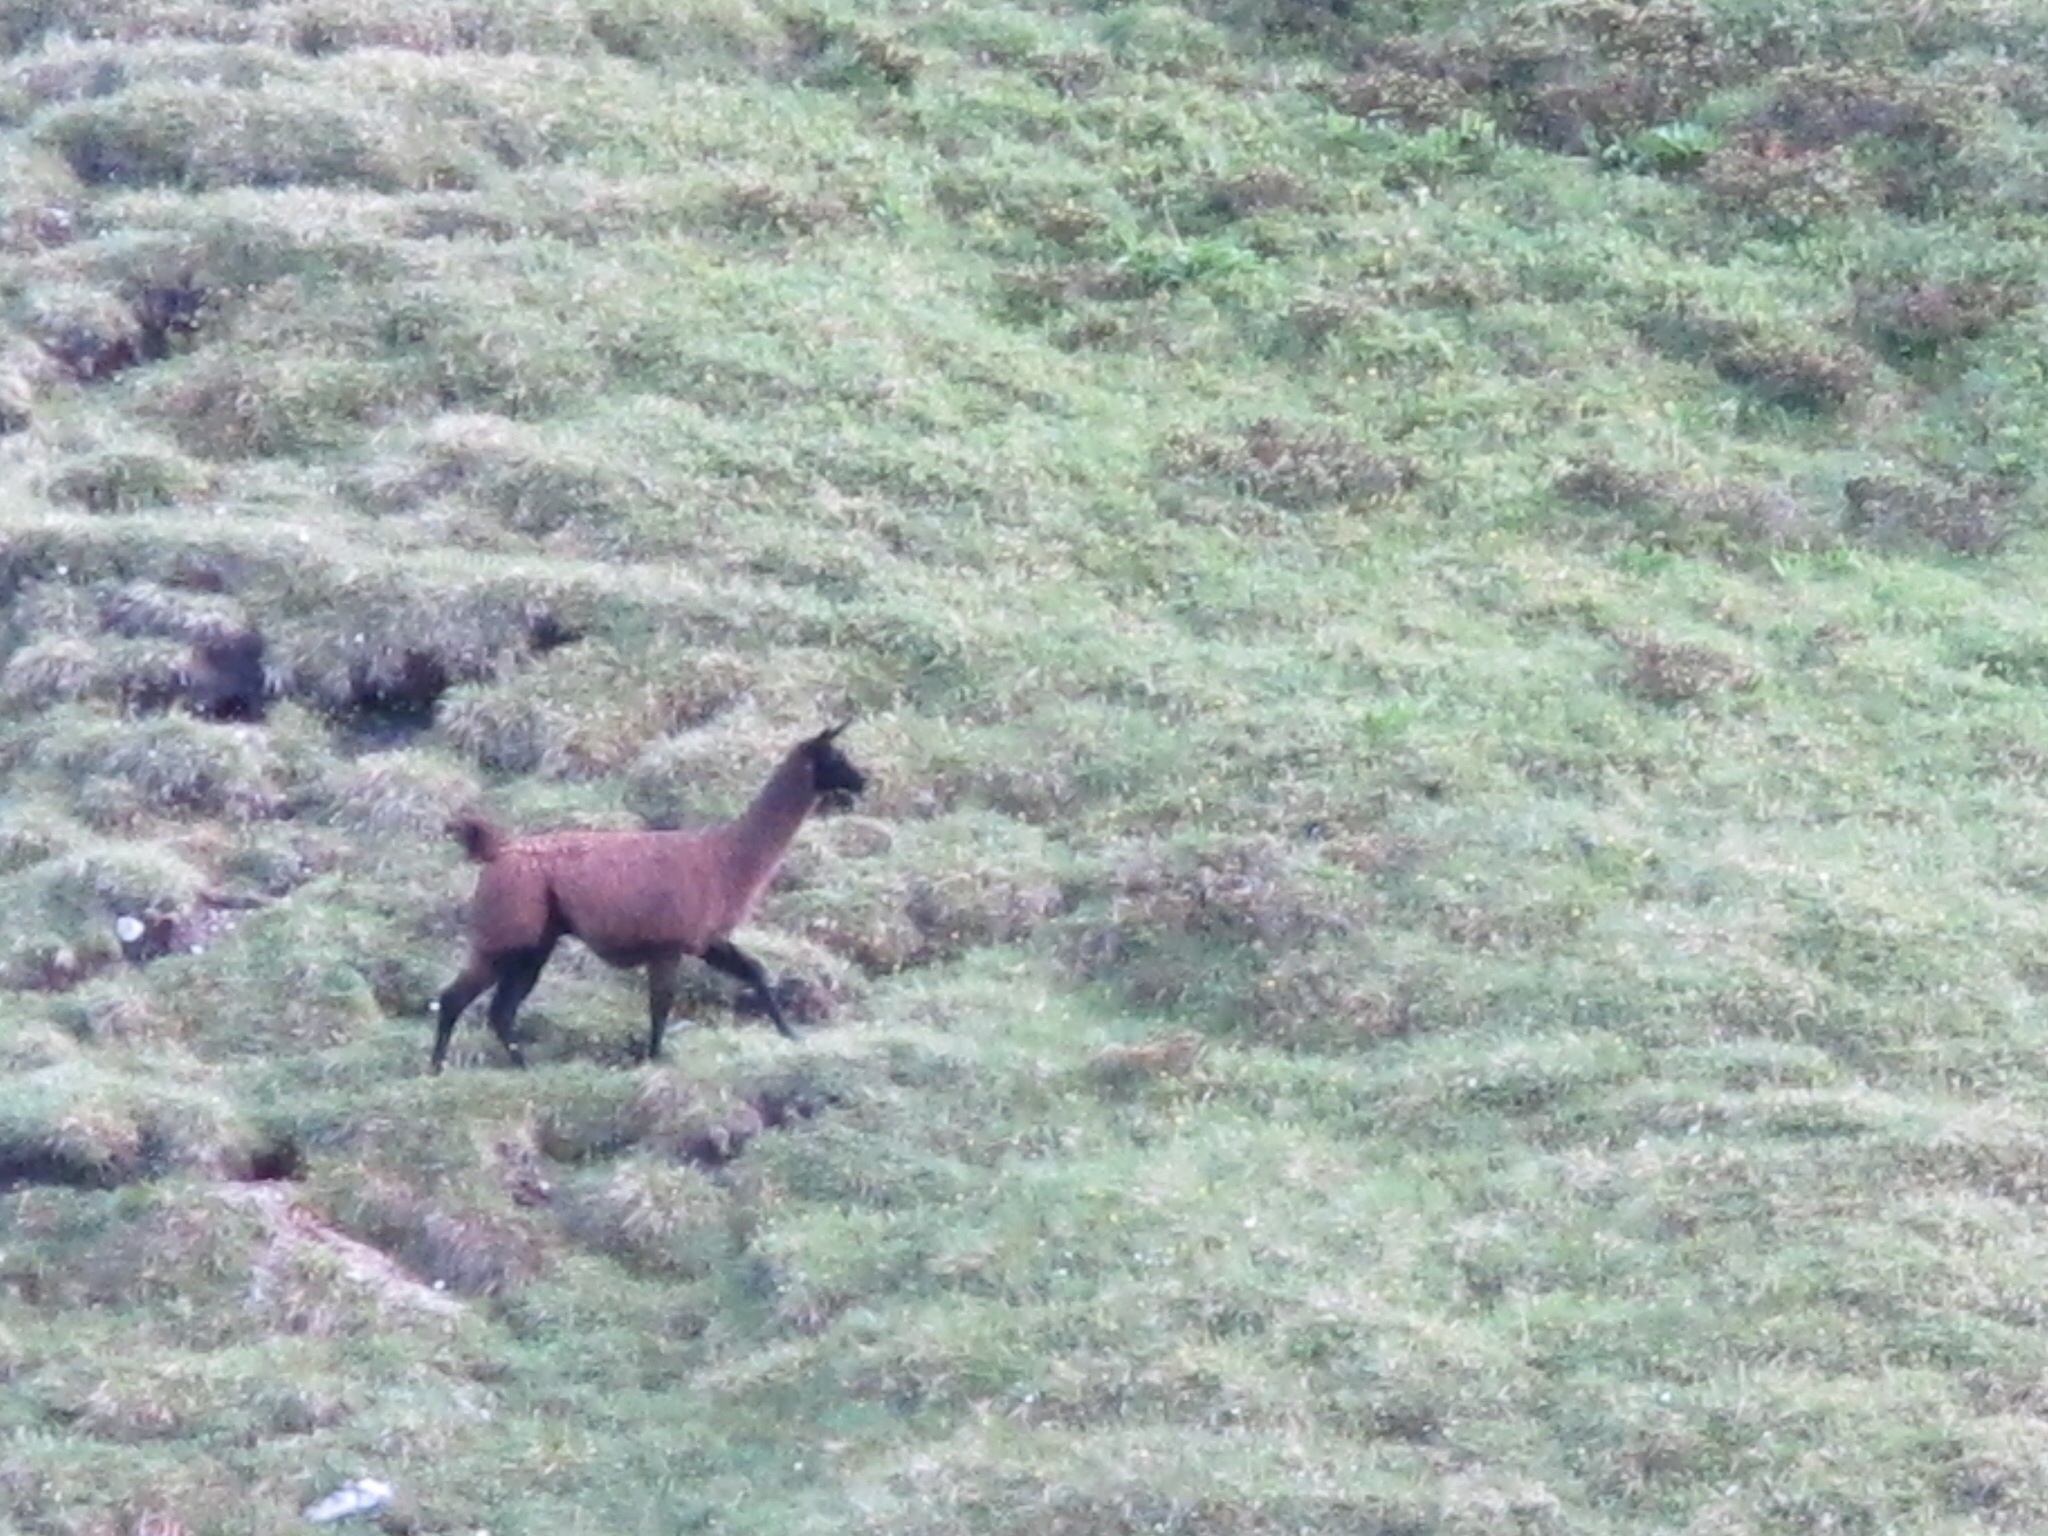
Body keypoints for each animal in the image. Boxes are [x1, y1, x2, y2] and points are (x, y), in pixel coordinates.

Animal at [431, 723, 868, 1073]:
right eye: (836, 757)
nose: (863, 780)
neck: (726, 857)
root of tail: (498, 849)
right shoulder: (668, 945)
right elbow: (661, 1005)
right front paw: (655, 1057)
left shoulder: (704, 939)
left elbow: (755, 972)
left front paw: (791, 1035)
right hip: (509, 931)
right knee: (456, 998)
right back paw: (440, 1068)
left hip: (534, 940)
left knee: (498, 1009)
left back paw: (517, 1067)